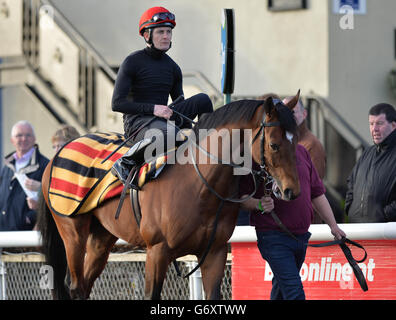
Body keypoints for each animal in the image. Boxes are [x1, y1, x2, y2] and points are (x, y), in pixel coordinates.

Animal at [37, 90, 302, 300]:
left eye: (296, 141)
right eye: (274, 145)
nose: (292, 191)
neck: (199, 185)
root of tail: (58, 152)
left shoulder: (215, 252)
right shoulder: (157, 251)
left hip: (101, 237)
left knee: (85, 284)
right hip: (72, 231)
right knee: (74, 286)